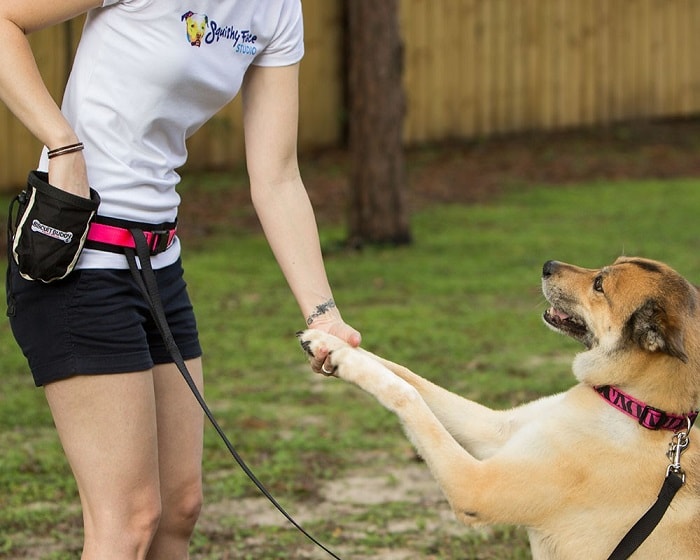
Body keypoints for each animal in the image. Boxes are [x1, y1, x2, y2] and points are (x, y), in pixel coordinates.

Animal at [300, 258, 700, 560]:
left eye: (600, 284)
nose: (547, 264)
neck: (638, 409)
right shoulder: (498, 430)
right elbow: (408, 375)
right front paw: (329, 340)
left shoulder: (476, 486)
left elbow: (405, 393)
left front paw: (344, 358)